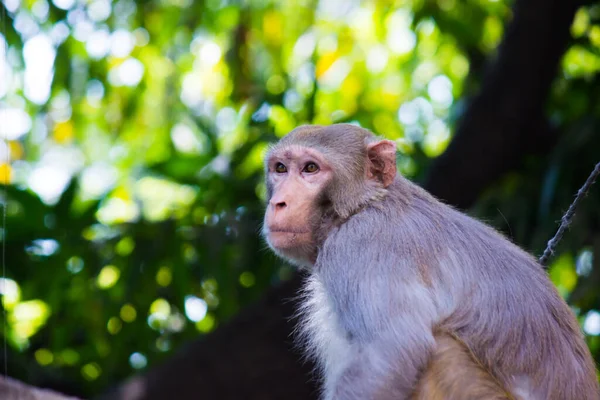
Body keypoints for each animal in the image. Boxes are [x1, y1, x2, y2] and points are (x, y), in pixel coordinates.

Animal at [262, 123, 600, 398]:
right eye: (280, 168)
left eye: (310, 168)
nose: (279, 203)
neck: (362, 207)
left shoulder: (360, 246)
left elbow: (391, 350)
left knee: (441, 352)